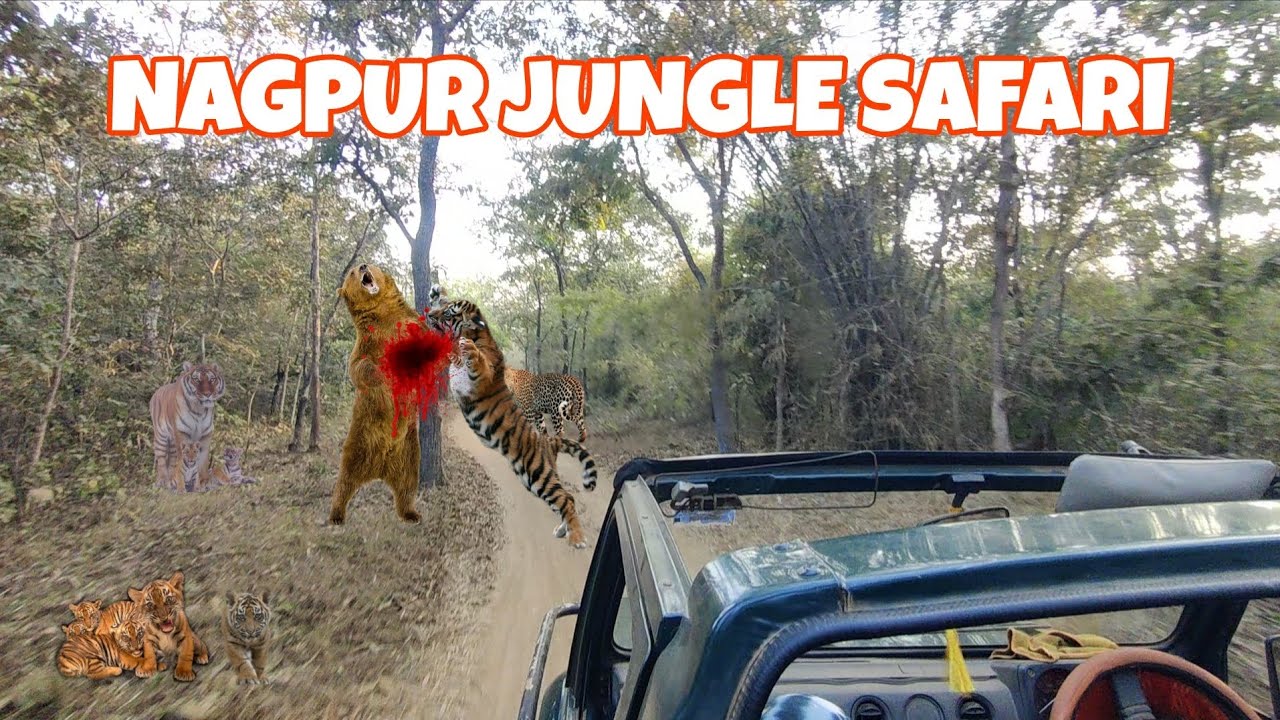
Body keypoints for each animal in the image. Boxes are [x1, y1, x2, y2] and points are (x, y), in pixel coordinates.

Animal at [150, 361, 225, 491]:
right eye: (196, 379)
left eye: (212, 379)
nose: (207, 394)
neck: (200, 409)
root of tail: (156, 391)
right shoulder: (182, 432)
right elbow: (182, 459)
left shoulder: (206, 435)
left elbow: (203, 460)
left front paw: (203, 482)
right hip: (161, 438)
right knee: (161, 460)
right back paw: (162, 481)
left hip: (172, 443)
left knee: (171, 460)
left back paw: (170, 479)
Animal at [426, 297, 598, 549]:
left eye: (448, 313)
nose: (429, 314)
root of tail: (549, 442)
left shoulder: (481, 377)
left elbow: (477, 360)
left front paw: (469, 348)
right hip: (531, 479)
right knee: (567, 498)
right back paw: (562, 530)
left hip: (538, 473)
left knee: (565, 499)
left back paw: (577, 538)